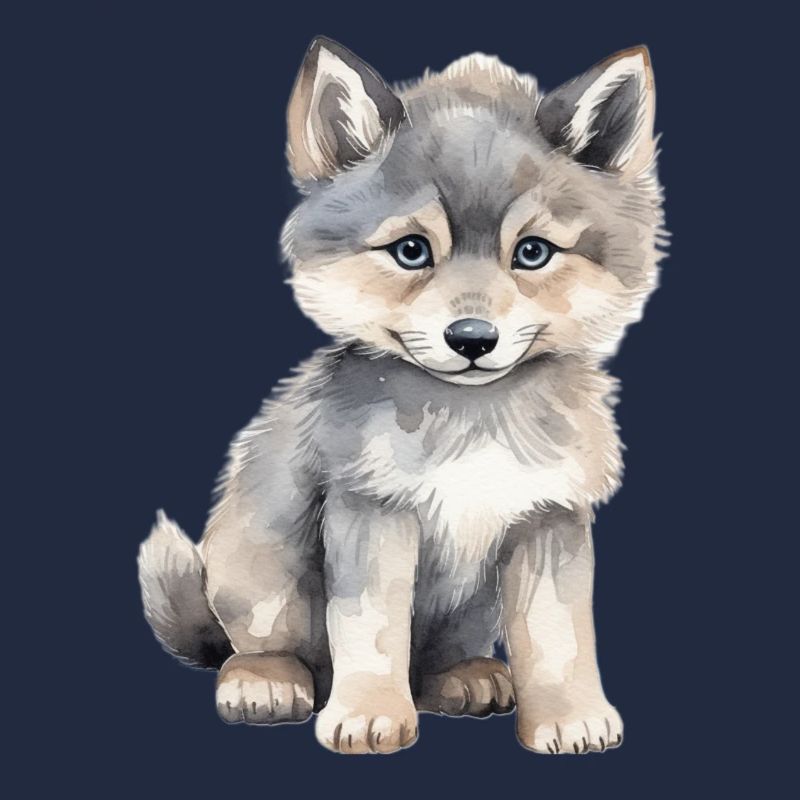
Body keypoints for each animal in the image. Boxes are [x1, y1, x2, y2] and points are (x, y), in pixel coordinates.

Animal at [138, 37, 665, 755]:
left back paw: (466, 678)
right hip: (261, 568)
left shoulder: (548, 516)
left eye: (532, 253)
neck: (473, 420)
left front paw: (568, 717)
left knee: (437, 660)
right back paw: (265, 682)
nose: (472, 338)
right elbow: (371, 629)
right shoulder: (371, 511)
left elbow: (557, 635)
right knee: (253, 645)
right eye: (412, 251)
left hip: (470, 609)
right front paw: (368, 715)